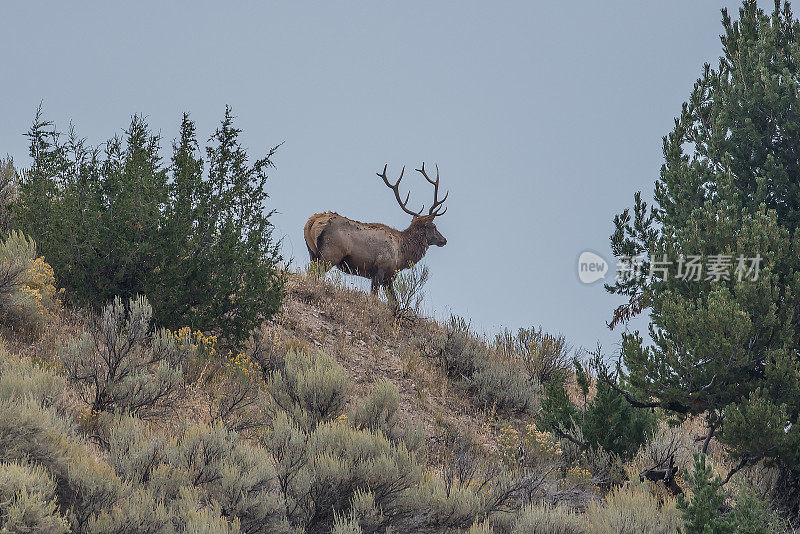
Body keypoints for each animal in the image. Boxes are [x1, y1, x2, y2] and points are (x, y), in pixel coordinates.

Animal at [304, 162, 446, 306]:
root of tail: (313, 221)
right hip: (330, 253)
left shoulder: (387, 276)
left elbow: (394, 302)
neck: (401, 254)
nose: (444, 240)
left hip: (313, 253)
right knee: (313, 274)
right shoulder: (382, 268)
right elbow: (376, 297)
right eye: (434, 227)